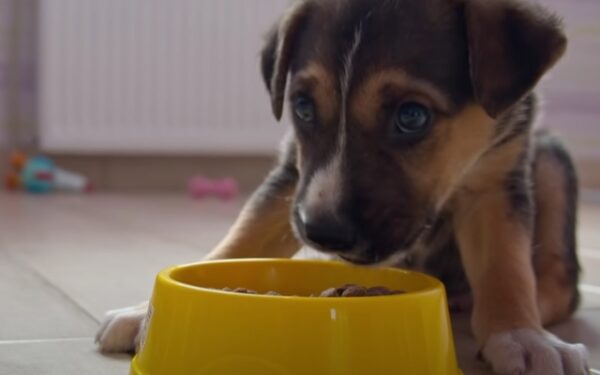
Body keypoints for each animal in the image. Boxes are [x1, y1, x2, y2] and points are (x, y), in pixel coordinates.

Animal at [96, 1, 588, 374]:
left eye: (412, 116)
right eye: (302, 107)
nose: (322, 234)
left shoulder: (498, 178)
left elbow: (506, 268)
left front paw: (522, 337)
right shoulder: (292, 177)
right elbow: (240, 238)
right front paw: (146, 310)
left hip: (551, 161)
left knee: (560, 281)